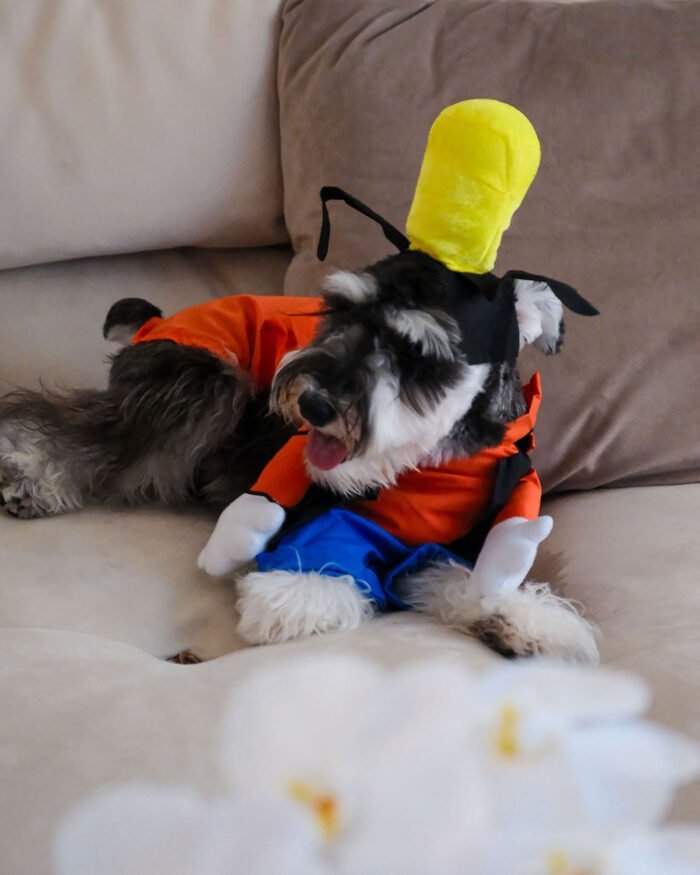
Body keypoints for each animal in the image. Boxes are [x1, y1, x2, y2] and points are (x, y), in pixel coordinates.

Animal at [0, 250, 600, 660]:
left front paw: (525, 620)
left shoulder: (453, 543)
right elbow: (325, 574)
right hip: (202, 385)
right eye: (337, 311)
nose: (313, 404)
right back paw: (28, 471)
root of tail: (157, 319)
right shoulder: (328, 519)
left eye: (415, 351)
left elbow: (468, 579)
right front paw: (296, 599)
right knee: (78, 427)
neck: (428, 470)